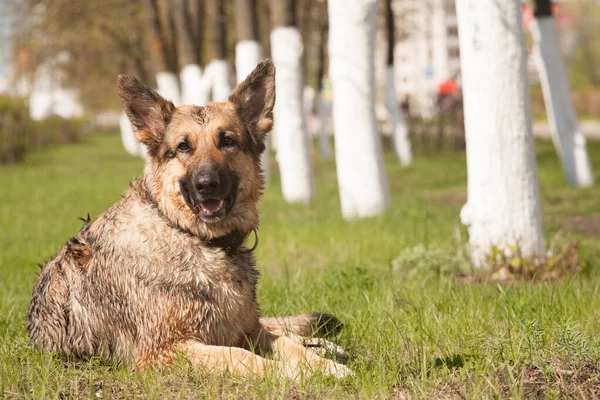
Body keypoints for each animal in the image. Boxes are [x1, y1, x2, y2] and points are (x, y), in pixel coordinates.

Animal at [27, 61, 352, 380]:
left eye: (227, 141)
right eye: (183, 147)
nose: (206, 184)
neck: (192, 235)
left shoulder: (245, 330)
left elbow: (286, 344)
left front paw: (322, 364)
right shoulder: (165, 350)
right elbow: (241, 357)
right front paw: (294, 372)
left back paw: (326, 345)